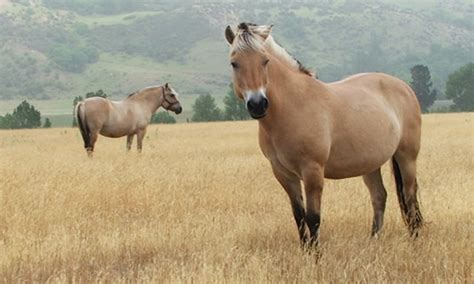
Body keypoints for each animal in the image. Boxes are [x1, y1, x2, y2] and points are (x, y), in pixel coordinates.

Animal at [224, 23, 424, 247]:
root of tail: (405, 87)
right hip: (371, 164)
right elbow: (299, 217)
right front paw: (305, 252)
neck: (293, 106)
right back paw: (374, 240)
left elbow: (313, 218)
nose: (258, 104)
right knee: (379, 197)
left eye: (265, 61)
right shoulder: (283, 174)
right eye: (234, 63)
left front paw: (316, 255)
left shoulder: (312, 171)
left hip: (407, 157)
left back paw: (414, 240)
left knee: (409, 197)